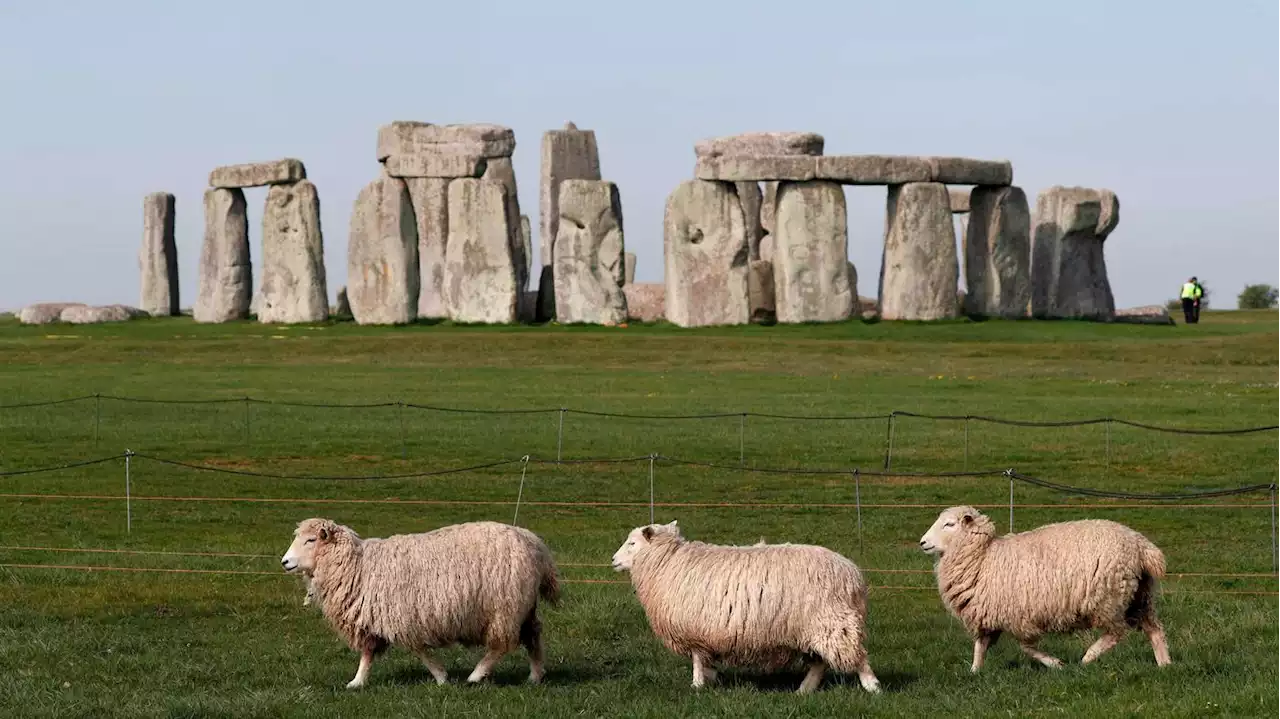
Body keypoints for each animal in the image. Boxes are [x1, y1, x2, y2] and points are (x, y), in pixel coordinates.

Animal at [280, 514, 560, 690]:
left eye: (310, 540)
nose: (284, 562)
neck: (358, 566)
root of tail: (535, 543)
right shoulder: (373, 618)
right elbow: (368, 654)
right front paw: (357, 682)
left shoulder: (402, 616)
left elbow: (419, 650)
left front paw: (441, 676)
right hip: (523, 605)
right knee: (533, 634)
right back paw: (535, 676)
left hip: (505, 608)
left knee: (502, 645)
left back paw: (476, 675)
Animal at [611, 516, 880, 690]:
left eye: (632, 543)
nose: (613, 560)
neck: (667, 562)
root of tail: (853, 574)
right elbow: (705, 660)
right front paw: (710, 678)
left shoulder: (694, 629)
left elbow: (697, 659)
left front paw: (697, 686)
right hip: (813, 627)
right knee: (820, 663)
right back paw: (804, 690)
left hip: (832, 620)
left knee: (855, 656)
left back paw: (872, 686)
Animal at [921, 506, 1172, 670]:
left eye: (949, 524)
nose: (922, 542)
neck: (983, 557)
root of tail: (1142, 545)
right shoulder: (987, 615)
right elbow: (980, 646)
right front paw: (974, 672)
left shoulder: (1019, 617)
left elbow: (1026, 647)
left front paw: (1055, 663)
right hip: (1140, 595)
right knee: (1154, 629)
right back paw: (1165, 665)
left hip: (1108, 598)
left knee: (1116, 632)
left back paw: (1087, 658)